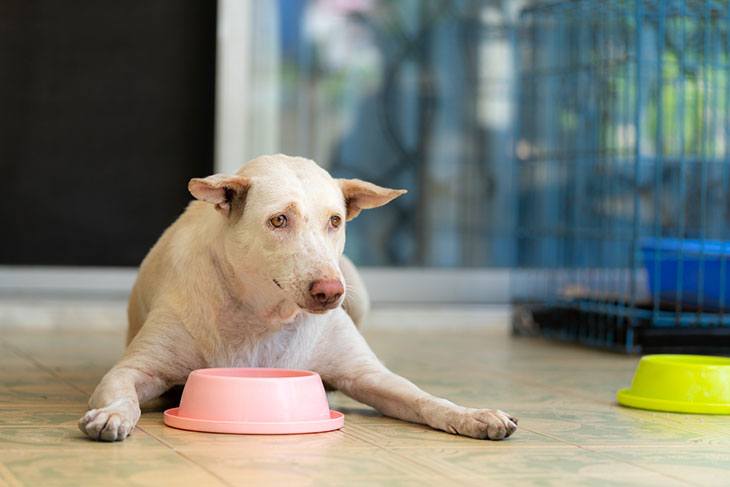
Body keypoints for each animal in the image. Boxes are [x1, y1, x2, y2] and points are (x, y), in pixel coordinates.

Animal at [77, 155, 516, 442]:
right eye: (278, 220)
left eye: (335, 221)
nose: (330, 292)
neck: (265, 316)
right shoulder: (134, 369)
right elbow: (125, 393)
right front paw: (113, 415)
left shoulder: (370, 375)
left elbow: (424, 398)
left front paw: (472, 414)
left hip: (357, 286)